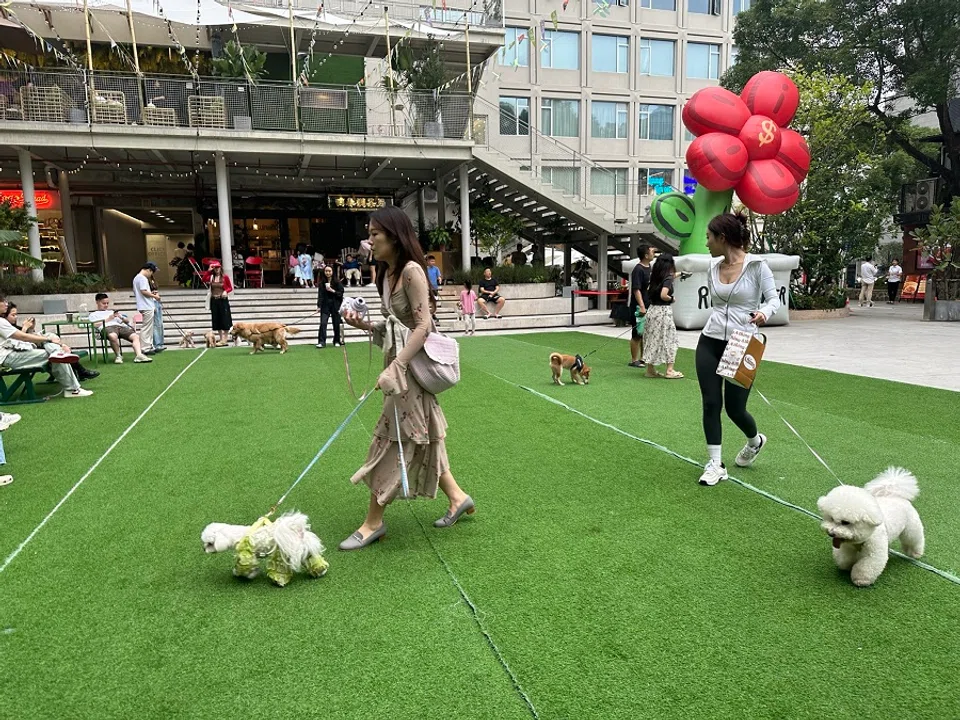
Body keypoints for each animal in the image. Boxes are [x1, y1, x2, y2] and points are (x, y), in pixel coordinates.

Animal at [200, 510, 330, 588]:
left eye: (209, 544)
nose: (203, 549)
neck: (237, 535)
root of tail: (298, 532)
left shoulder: (247, 554)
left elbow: (245, 567)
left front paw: (245, 575)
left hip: (281, 553)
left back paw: (279, 581)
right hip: (303, 549)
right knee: (312, 558)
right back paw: (320, 571)